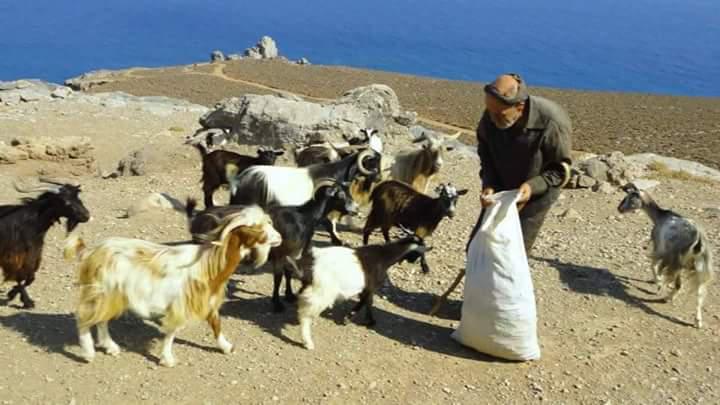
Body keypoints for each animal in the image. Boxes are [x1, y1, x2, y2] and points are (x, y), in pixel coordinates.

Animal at [0, 178, 90, 308]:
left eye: (77, 197)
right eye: (65, 201)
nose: (86, 216)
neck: (30, 222)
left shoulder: (34, 253)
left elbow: (30, 278)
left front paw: (13, 293)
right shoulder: (14, 256)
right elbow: (20, 277)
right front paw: (26, 301)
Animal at [66, 205, 282, 366]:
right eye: (257, 228)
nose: (279, 237)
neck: (209, 266)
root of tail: (91, 253)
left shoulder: (207, 301)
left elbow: (216, 323)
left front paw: (226, 347)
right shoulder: (180, 304)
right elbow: (172, 331)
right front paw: (167, 358)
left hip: (111, 295)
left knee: (101, 320)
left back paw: (110, 347)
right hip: (102, 291)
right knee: (84, 318)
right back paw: (88, 353)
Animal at [184, 178, 356, 310]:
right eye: (341, 195)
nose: (355, 210)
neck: (304, 218)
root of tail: (196, 220)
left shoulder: (290, 254)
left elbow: (287, 274)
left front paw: (289, 296)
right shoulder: (281, 254)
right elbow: (279, 277)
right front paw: (277, 304)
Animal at [290, 229, 430, 348]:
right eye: (420, 254)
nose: (425, 269)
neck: (383, 257)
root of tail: (307, 267)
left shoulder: (365, 288)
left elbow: (366, 301)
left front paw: (358, 318)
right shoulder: (370, 286)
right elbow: (367, 301)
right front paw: (360, 319)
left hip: (310, 288)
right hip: (321, 292)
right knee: (305, 315)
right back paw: (308, 342)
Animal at [620, 181, 716, 326]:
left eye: (629, 197)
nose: (619, 208)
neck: (660, 216)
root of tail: (698, 239)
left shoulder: (660, 248)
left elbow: (654, 265)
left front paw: (658, 283)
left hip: (677, 261)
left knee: (678, 283)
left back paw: (665, 296)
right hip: (700, 268)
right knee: (699, 292)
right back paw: (697, 321)